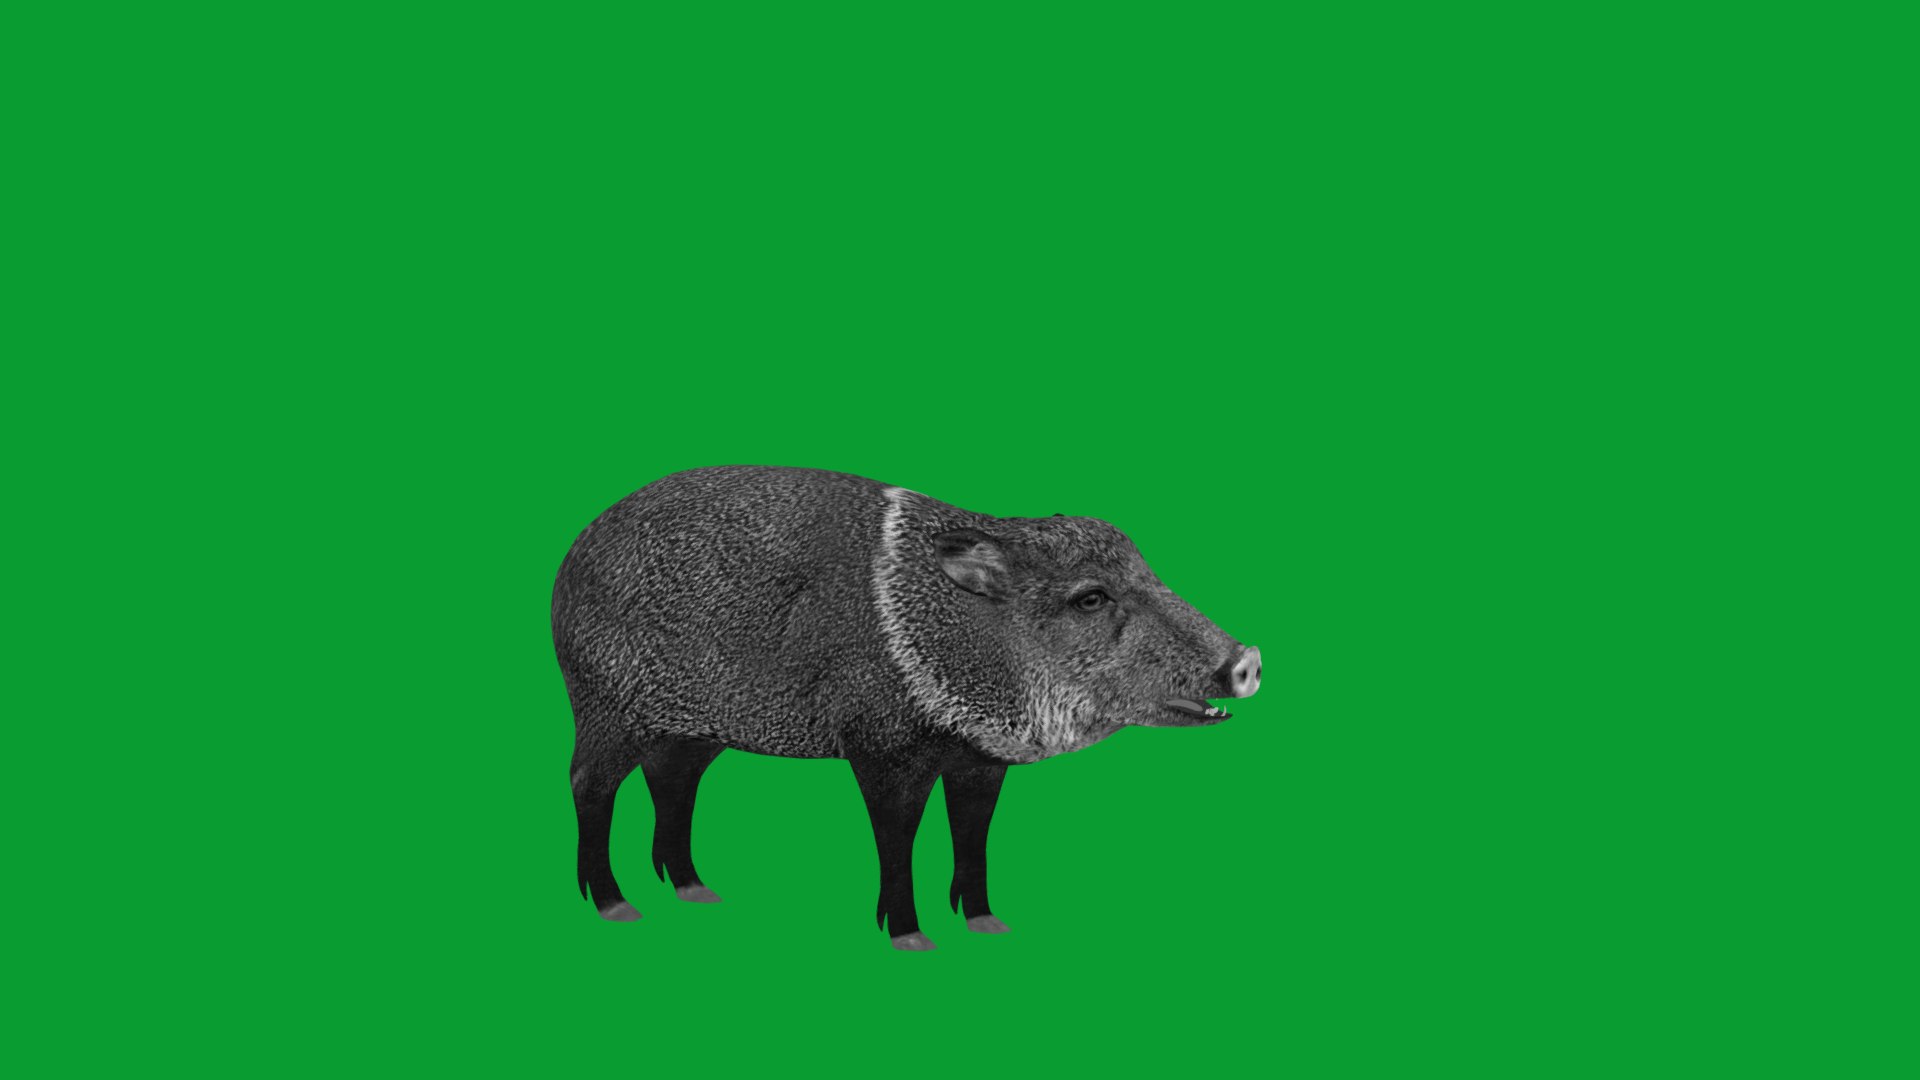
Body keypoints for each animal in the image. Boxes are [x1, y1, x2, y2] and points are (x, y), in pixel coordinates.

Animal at [552, 466, 1261, 950]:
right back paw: (616, 905)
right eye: (1090, 598)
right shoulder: (882, 750)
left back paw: (697, 891)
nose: (1248, 661)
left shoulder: (979, 758)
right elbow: (897, 839)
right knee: (589, 785)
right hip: (607, 708)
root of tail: (571, 557)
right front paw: (911, 938)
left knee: (671, 783)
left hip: (692, 730)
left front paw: (988, 924)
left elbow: (972, 836)